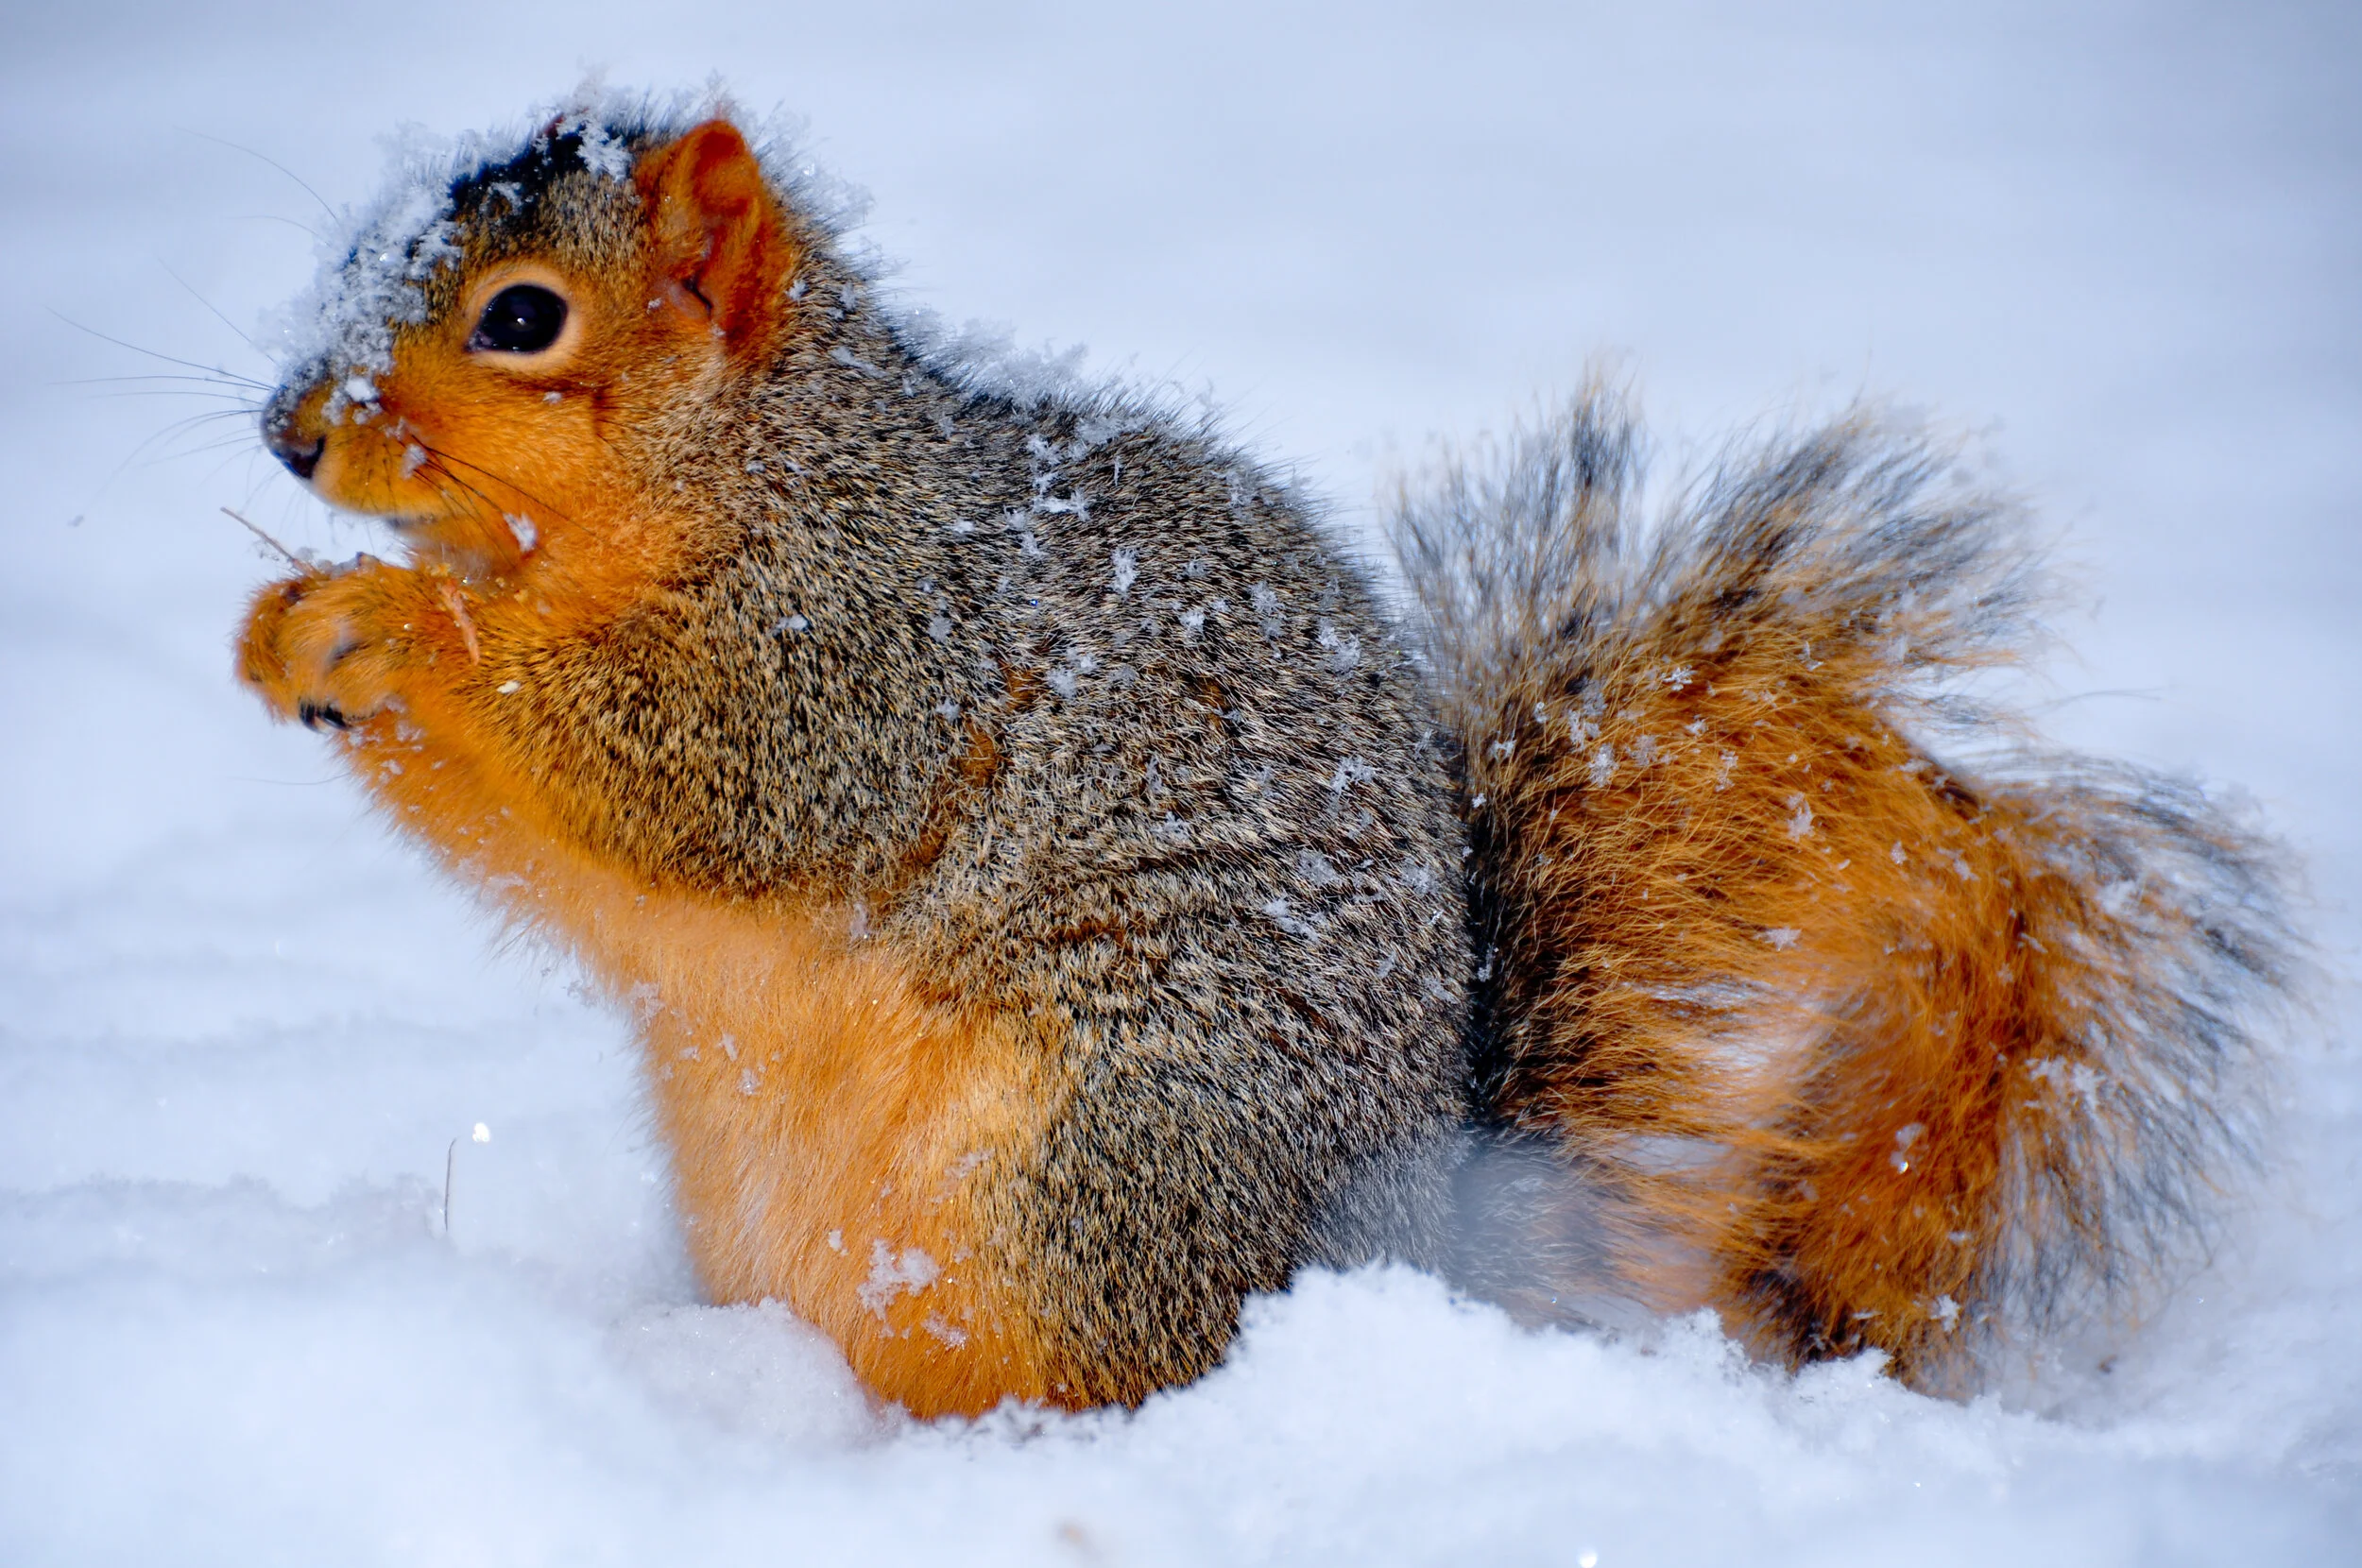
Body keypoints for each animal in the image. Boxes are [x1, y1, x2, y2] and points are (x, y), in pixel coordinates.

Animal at [235, 101, 2292, 1417]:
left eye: (523, 317)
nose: (286, 434)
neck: (752, 462)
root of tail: (1418, 1261)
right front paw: (290, 634)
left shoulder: (866, 643)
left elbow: (701, 774)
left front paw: (387, 624)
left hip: (1101, 1160)